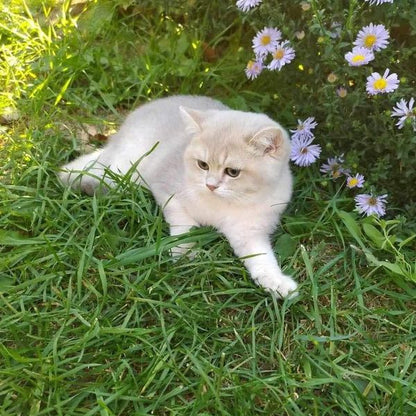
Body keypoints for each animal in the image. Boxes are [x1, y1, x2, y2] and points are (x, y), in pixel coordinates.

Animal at [59, 94, 300, 298]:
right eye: (203, 165)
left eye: (233, 172)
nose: (210, 185)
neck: (222, 204)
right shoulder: (166, 191)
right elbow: (183, 224)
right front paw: (184, 252)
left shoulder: (248, 231)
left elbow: (261, 258)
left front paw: (276, 282)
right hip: (125, 167)